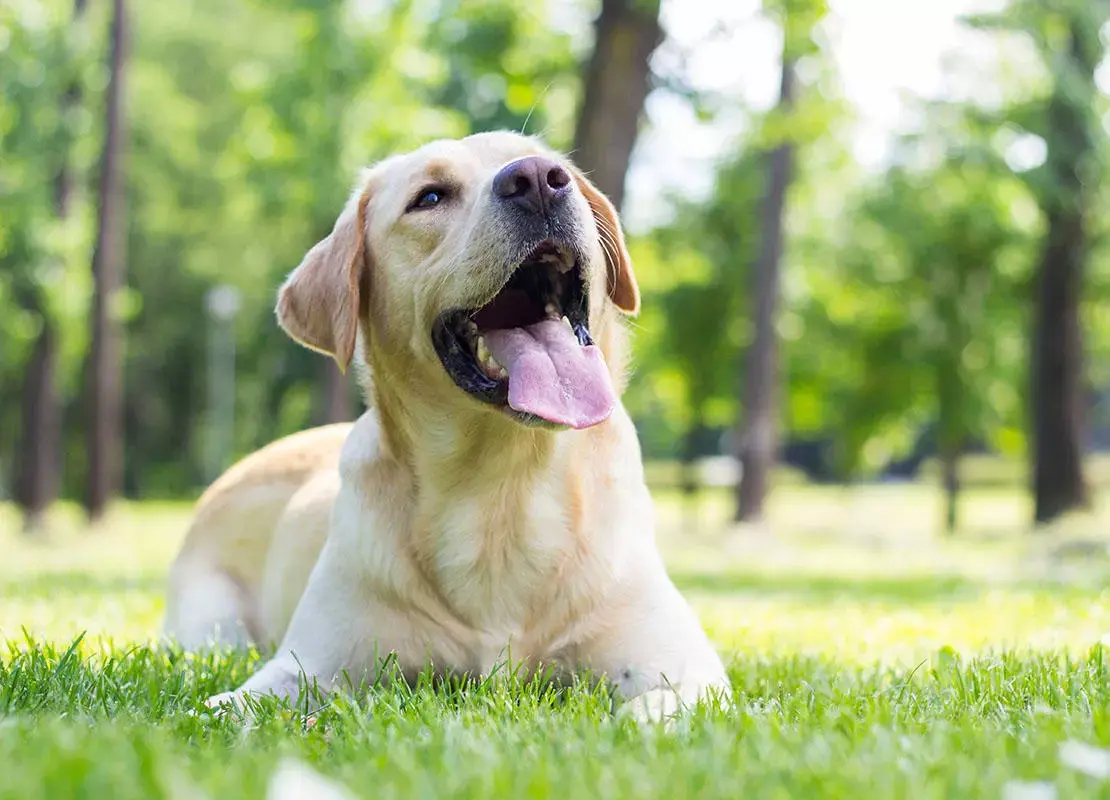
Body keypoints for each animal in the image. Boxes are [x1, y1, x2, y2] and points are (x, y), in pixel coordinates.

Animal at [160, 129, 728, 719]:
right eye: (429, 197)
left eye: (555, 170)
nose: (537, 180)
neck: (501, 489)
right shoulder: (304, 667)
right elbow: (230, 706)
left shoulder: (685, 669)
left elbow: (650, 711)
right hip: (211, 627)